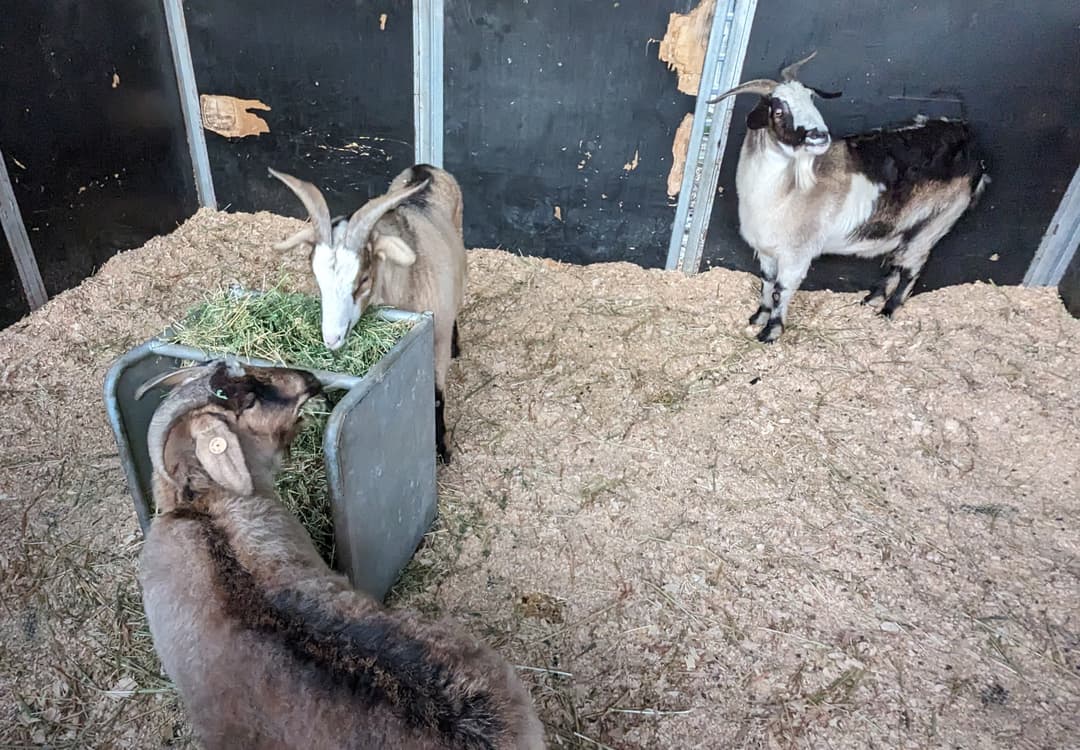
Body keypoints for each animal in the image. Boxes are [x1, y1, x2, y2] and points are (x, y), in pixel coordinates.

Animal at [268, 164, 464, 464]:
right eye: (317, 278)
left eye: (362, 280)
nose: (332, 339)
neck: (407, 283)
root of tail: (425, 167)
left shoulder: (437, 341)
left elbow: (437, 395)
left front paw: (443, 451)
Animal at [708, 52, 989, 343]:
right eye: (778, 110)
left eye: (811, 99)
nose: (820, 135)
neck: (784, 192)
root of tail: (969, 142)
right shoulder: (766, 251)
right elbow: (766, 283)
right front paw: (758, 318)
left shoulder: (797, 253)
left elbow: (781, 290)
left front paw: (770, 333)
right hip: (907, 227)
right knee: (896, 262)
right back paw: (872, 299)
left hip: (936, 223)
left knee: (911, 268)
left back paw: (888, 310)